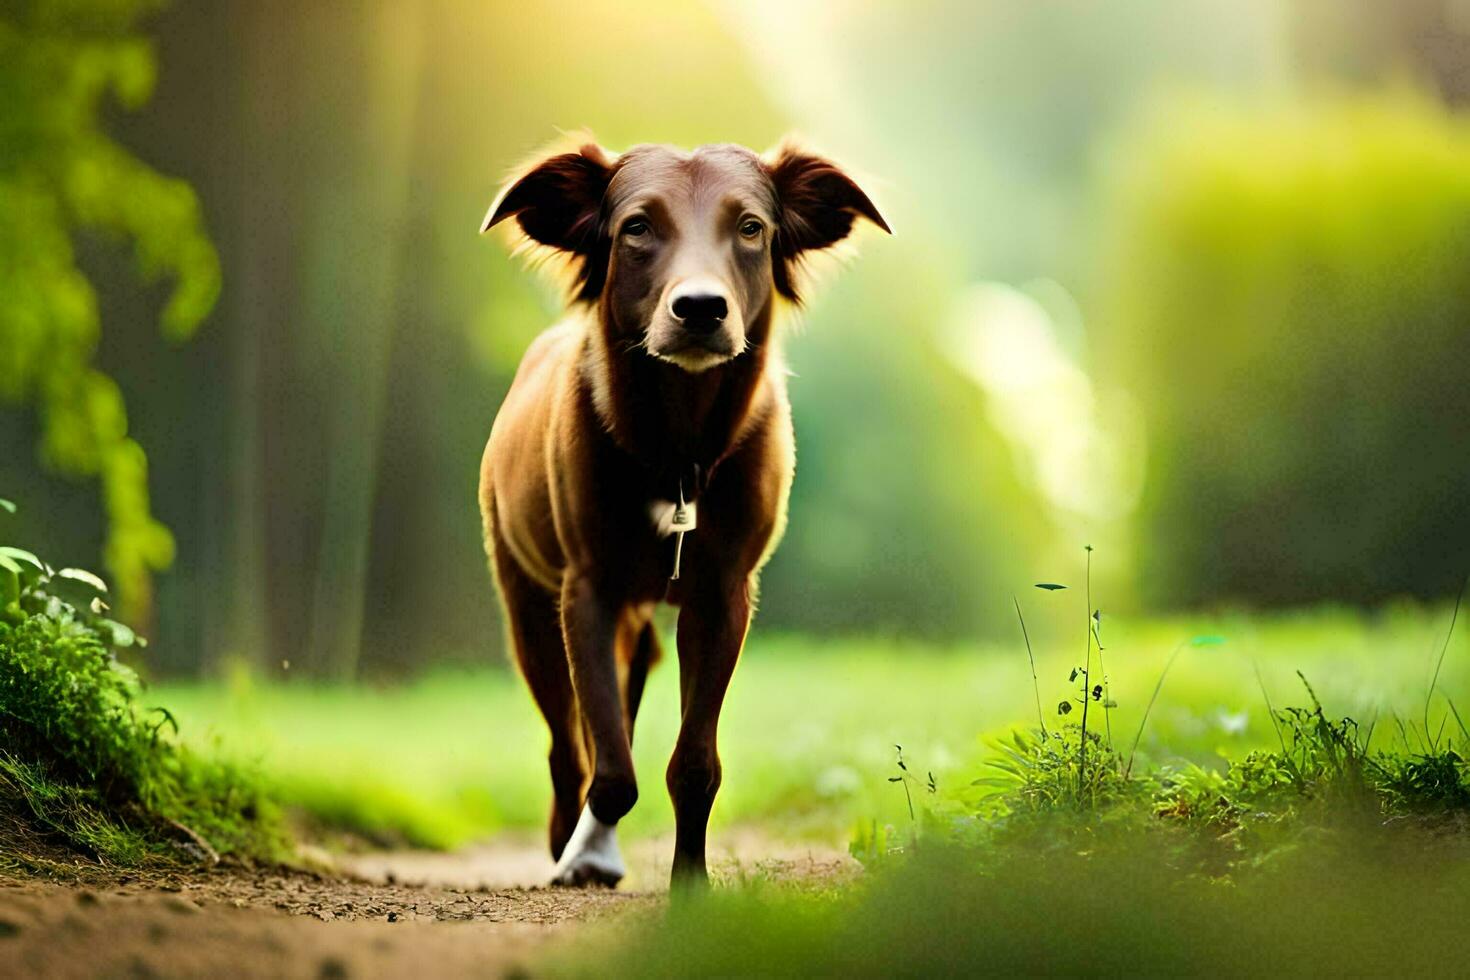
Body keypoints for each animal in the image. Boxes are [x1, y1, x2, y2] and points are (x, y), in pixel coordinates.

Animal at [476, 138, 882, 887]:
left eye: (751, 227)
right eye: (637, 226)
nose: (699, 309)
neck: (677, 452)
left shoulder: (721, 595)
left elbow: (693, 766)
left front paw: (690, 887)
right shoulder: (586, 592)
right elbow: (607, 770)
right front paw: (584, 849)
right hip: (527, 604)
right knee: (566, 744)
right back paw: (570, 837)